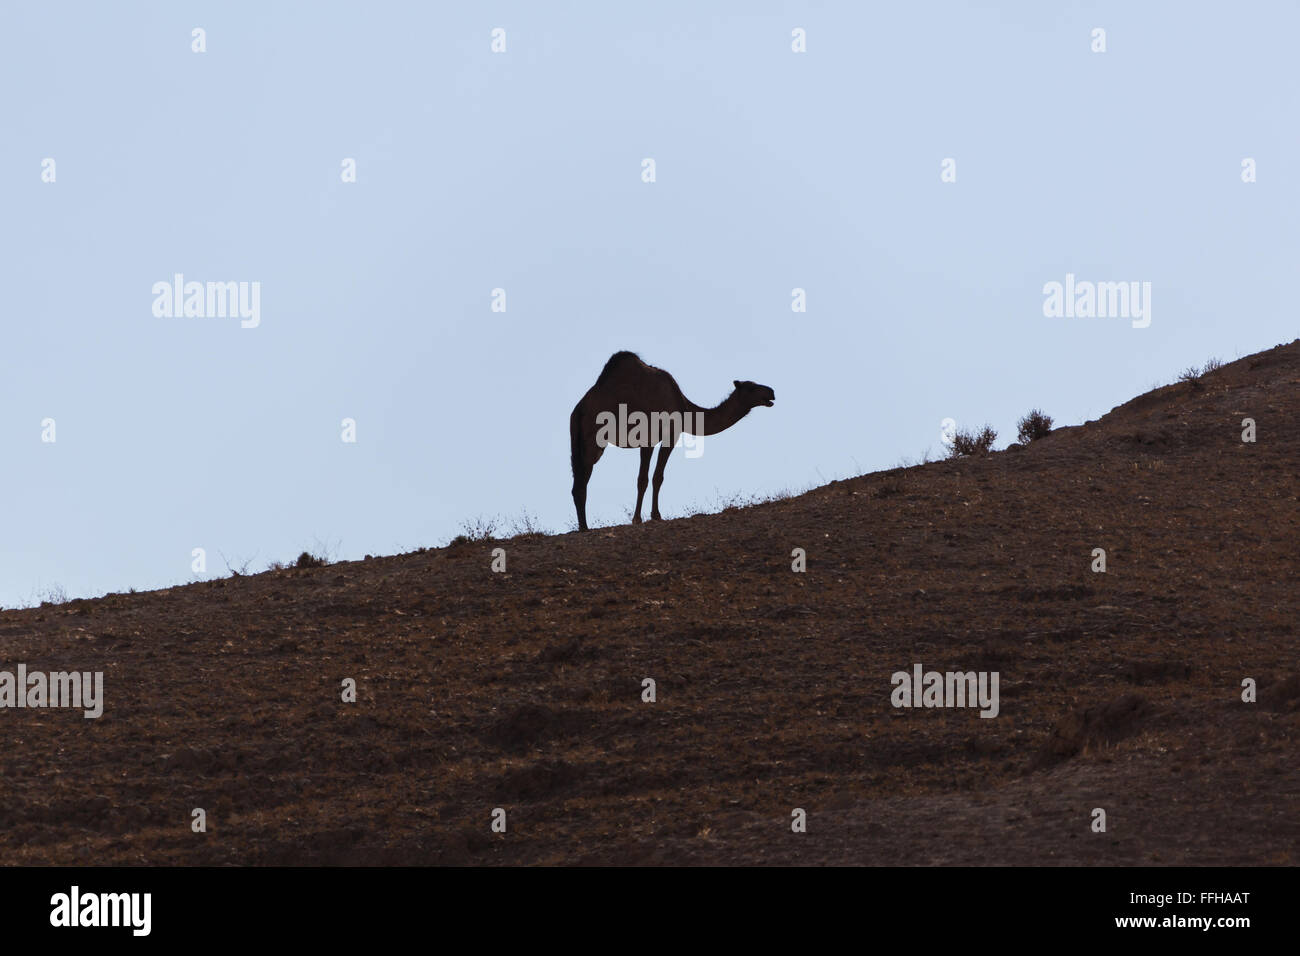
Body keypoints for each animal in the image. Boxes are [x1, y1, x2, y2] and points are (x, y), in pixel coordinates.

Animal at [569, 351, 769, 530]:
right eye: (751, 387)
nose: (771, 392)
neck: (683, 406)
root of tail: (579, 408)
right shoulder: (659, 437)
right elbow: (648, 478)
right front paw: (642, 518)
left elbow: (655, 477)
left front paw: (653, 515)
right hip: (592, 438)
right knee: (583, 479)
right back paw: (584, 527)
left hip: (578, 436)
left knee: (579, 479)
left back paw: (583, 527)